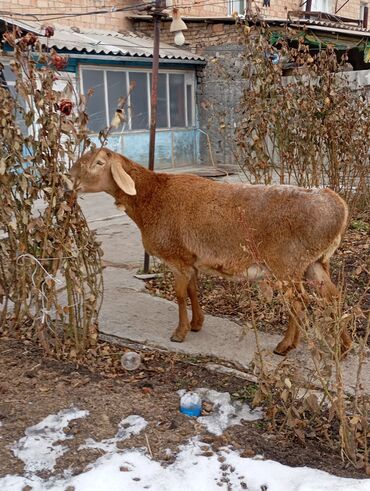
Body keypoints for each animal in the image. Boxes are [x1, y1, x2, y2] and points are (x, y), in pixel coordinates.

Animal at [71, 147, 352, 358]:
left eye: (98, 162)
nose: (71, 179)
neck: (151, 200)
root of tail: (339, 208)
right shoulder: (190, 258)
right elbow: (194, 290)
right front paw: (197, 324)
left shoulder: (177, 256)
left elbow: (180, 294)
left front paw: (180, 333)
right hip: (314, 262)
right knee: (331, 296)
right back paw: (343, 346)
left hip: (287, 263)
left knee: (299, 300)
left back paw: (285, 346)